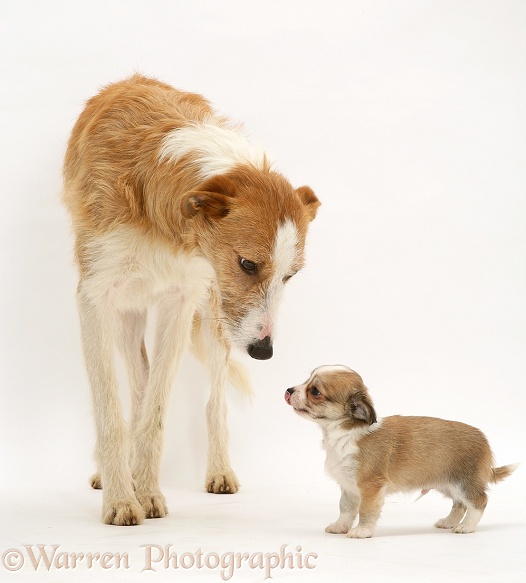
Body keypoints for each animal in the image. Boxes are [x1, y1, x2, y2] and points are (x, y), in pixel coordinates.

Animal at [65, 75, 322, 528]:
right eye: (248, 263)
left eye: (290, 275)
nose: (264, 352)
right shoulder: (94, 298)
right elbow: (111, 411)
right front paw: (121, 498)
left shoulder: (181, 301)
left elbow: (157, 412)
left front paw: (147, 493)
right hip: (129, 316)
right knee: (137, 384)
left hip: (213, 320)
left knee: (212, 402)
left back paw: (215, 470)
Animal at [286, 364, 516, 540]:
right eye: (306, 380)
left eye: (315, 391)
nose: (288, 390)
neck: (344, 432)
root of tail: (484, 440)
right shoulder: (348, 487)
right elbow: (345, 509)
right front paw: (339, 526)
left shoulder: (370, 486)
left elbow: (365, 510)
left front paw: (362, 531)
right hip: (447, 484)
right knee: (459, 504)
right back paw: (448, 522)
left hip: (463, 483)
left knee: (478, 502)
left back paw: (466, 526)